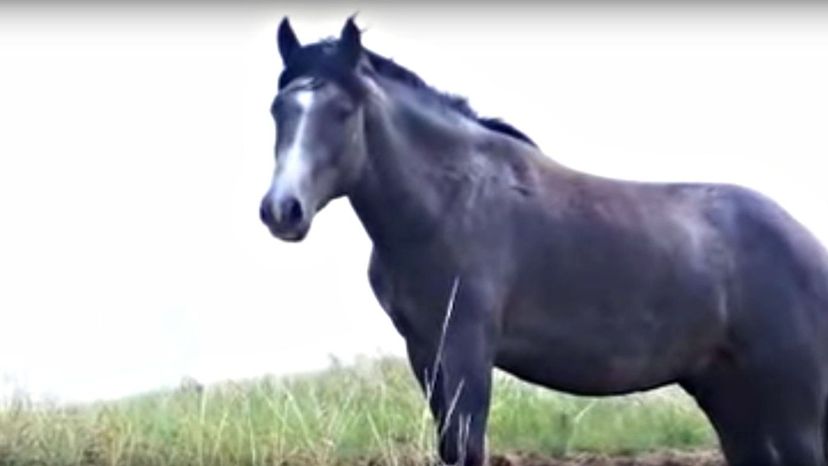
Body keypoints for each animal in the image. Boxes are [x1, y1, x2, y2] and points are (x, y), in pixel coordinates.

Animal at [258, 17, 828, 466]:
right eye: (278, 109)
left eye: (341, 111)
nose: (282, 210)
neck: (448, 203)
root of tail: (808, 245)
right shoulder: (423, 351)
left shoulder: (467, 348)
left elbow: (466, 448)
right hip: (729, 396)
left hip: (793, 406)